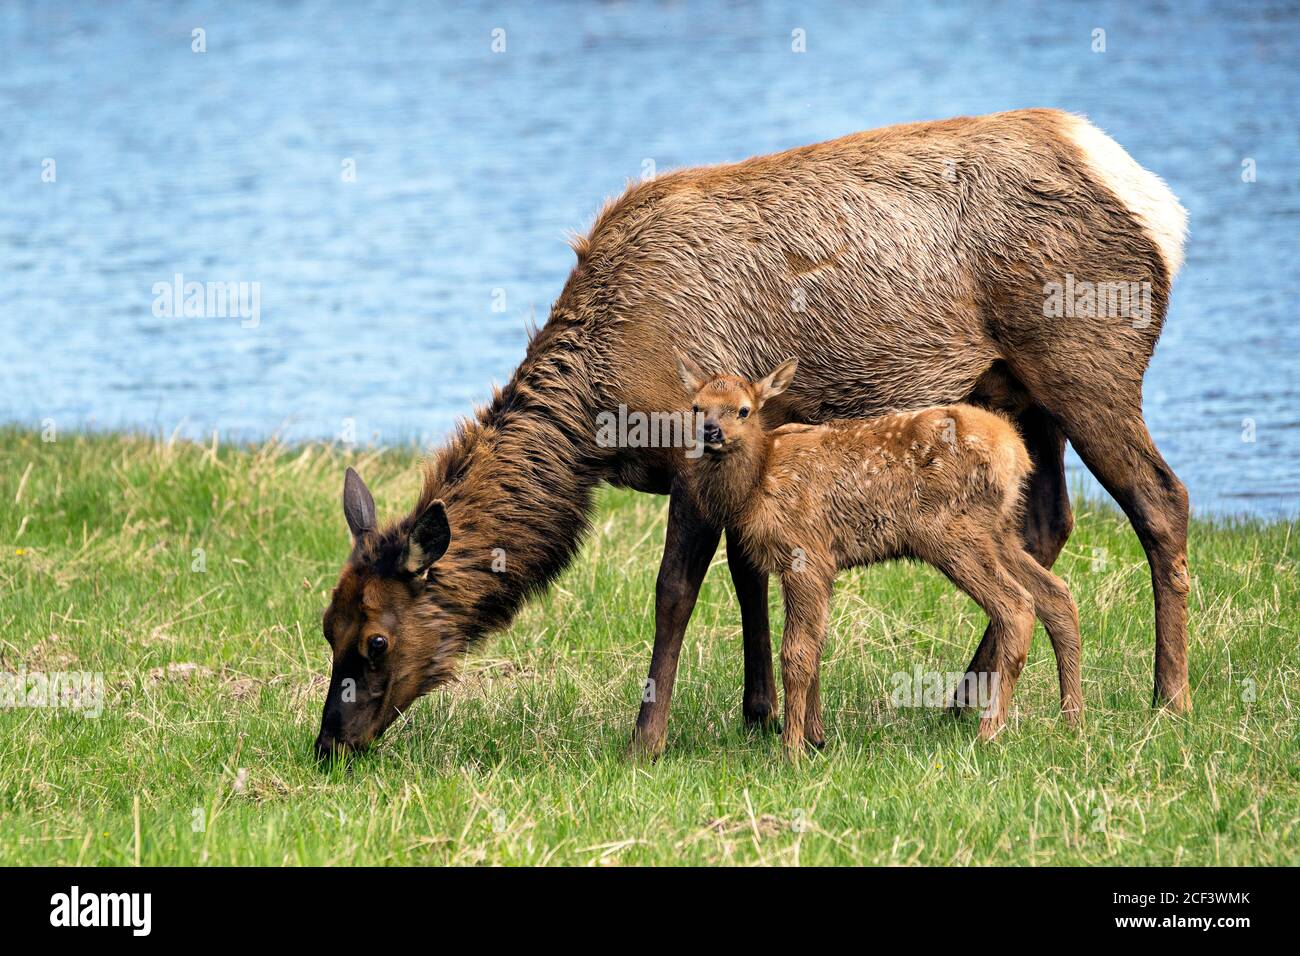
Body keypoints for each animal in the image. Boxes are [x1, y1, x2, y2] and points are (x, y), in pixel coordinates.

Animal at [681, 356, 1086, 759]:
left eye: (744, 410)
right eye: (697, 407)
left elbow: (796, 655)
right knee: (1057, 594)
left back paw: (990, 732)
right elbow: (817, 645)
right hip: (998, 532)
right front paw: (816, 738)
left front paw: (791, 751)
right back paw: (1073, 722)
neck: (756, 482)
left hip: (952, 532)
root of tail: (1015, 452)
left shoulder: (805, 554)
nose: (711, 431)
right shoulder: (821, 566)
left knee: (1016, 606)